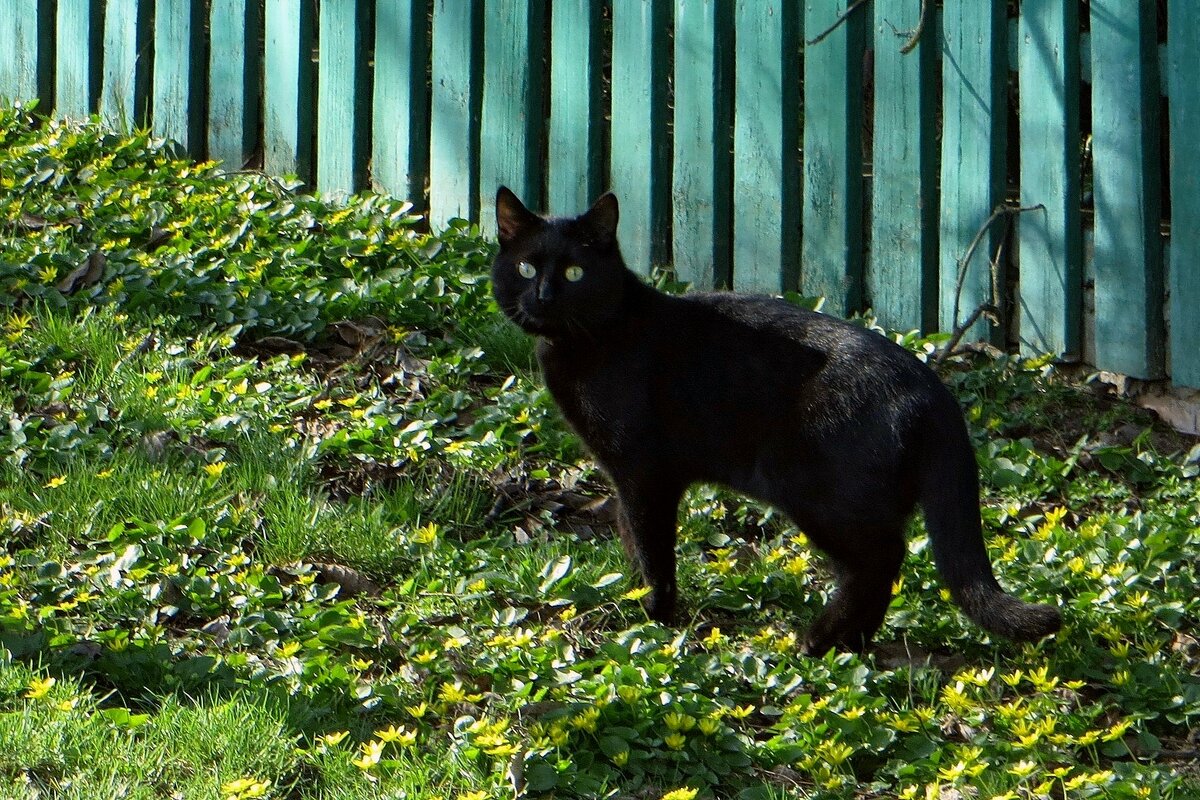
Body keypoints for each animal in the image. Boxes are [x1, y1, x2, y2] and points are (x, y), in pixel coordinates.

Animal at [487, 188, 1060, 657]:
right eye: (526, 269)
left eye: (574, 273)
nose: (543, 297)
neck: (590, 340)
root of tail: (932, 388)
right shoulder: (626, 476)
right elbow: (630, 535)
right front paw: (634, 593)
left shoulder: (645, 473)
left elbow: (652, 547)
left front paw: (654, 617)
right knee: (883, 564)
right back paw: (851, 643)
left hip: (814, 492)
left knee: (879, 558)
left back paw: (819, 640)